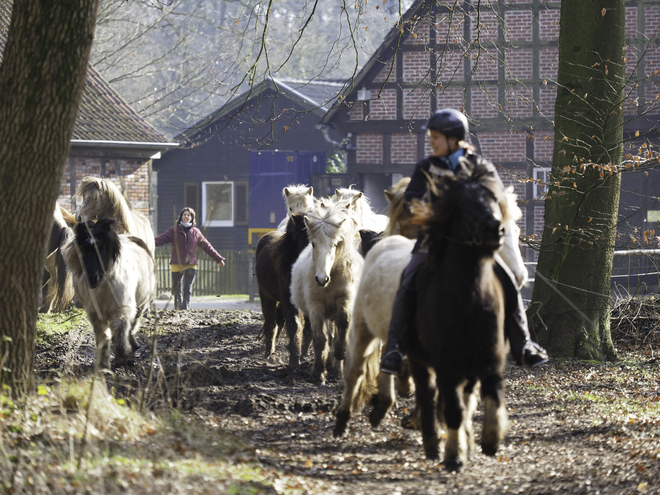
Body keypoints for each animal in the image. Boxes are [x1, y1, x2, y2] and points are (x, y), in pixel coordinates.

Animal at [63, 219, 158, 370]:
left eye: (102, 248)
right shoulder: (95, 314)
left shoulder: (122, 309)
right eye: (84, 249)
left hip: (141, 304)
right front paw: (103, 365)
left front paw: (124, 358)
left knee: (132, 325)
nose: (92, 278)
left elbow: (120, 332)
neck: (103, 285)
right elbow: (103, 338)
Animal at [255, 215, 312, 366]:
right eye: (302, 238)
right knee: (271, 325)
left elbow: (309, 329)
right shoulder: (289, 301)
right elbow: (294, 325)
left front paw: (304, 355)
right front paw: (294, 359)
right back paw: (270, 355)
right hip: (267, 298)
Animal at [290, 202, 364, 388]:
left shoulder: (345, 300)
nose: (321, 279)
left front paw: (340, 353)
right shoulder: (316, 307)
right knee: (328, 336)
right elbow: (320, 339)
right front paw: (318, 374)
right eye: (313, 244)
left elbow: (343, 325)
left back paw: (336, 369)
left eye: (335, 244)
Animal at [408, 164, 510, 472]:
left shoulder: (490, 356)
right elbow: (452, 409)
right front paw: (453, 456)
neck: (469, 297)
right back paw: (433, 446)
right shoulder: (446, 363)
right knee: (429, 397)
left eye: (494, 199)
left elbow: (492, 392)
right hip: (418, 360)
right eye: (465, 205)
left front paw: (491, 438)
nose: (495, 229)